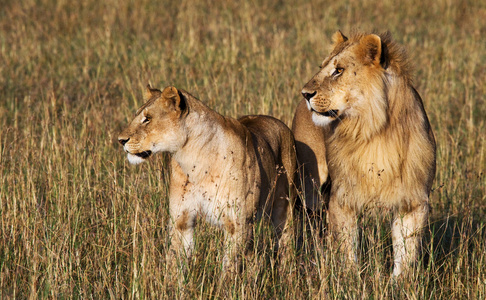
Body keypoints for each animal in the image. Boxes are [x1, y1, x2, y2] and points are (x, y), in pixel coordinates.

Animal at [119, 85, 298, 274]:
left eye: (147, 119)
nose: (120, 140)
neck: (193, 160)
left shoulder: (237, 224)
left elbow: (229, 268)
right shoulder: (181, 220)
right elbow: (176, 262)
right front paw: (171, 282)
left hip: (284, 209)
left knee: (285, 243)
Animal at [292, 31, 436, 276]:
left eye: (338, 70)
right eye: (322, 67)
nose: (305, 94)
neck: (373, 130)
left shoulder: (413, 200)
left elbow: (405, 253)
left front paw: (399, 283)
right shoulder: (342, 198)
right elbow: (348, 248)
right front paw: (350, 278)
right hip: (310, 186)